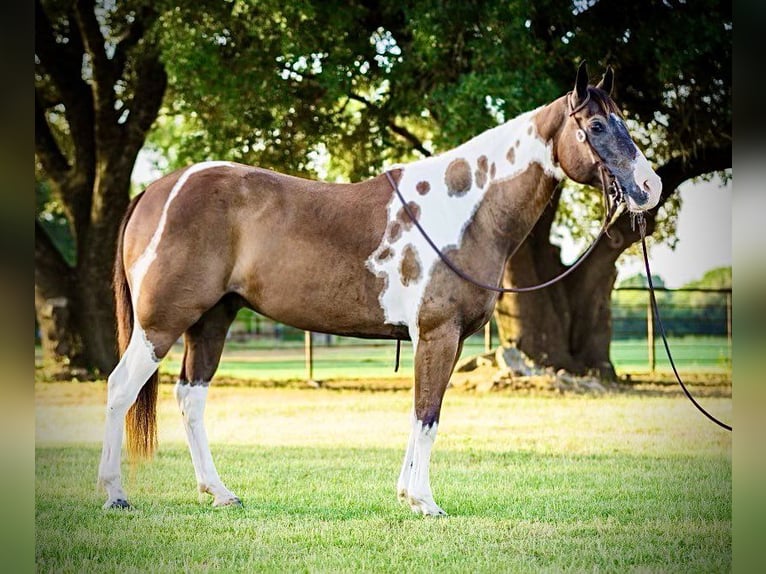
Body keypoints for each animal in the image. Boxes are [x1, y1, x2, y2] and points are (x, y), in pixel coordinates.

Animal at [99, 63, 664, 516]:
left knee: (190, 398)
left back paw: (219, 493)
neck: (465, 211)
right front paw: (424, 502)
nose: (650, 187)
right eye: (596, 126)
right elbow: (427, 413)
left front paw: (408, 495)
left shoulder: (440, 340)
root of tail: (155, 190)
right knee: (122, 387)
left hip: (211, 320)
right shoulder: (437, 335)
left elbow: (422, 413)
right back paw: (115, 494)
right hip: (162, 323)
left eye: (625, 122)